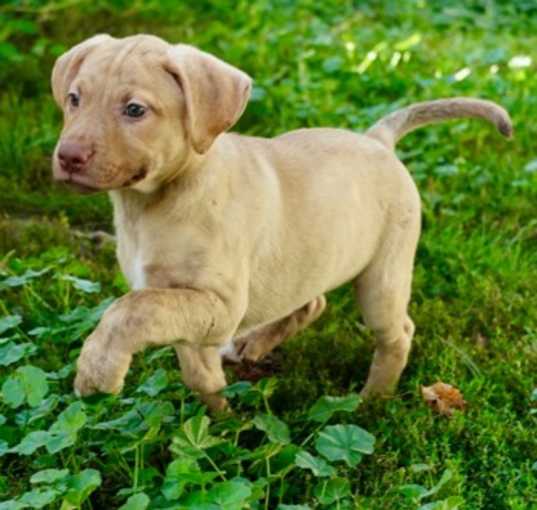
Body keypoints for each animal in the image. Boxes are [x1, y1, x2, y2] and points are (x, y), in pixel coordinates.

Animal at [51, 33, 510, 410]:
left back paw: (371, 401)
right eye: (74, 99)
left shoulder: (218, 303)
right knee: (313, 300)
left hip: (384, 277)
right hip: (307, 257)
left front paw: (97, 371)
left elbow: (129, 311)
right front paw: (221, 424)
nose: (68, 157)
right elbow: (197, 371)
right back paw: (255, 344)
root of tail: (377, 141)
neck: (151, 204)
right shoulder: (189, 309)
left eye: (134, 110)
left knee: (398, 334)